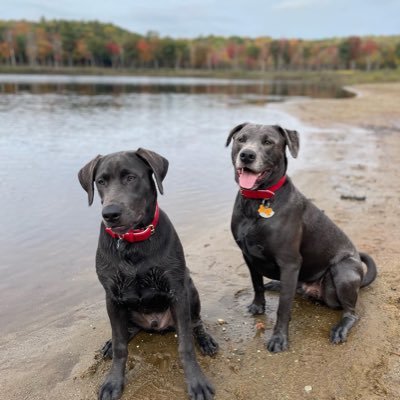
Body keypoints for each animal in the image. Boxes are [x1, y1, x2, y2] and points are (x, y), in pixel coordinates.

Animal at [77, 149, 217, 400]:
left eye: (131, 178)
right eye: (101, 181)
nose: (110, 214)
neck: (133, 243)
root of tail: (156, 325)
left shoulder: (177, 291)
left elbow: (185, 345)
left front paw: (196, 381)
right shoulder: (112, 297)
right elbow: (121, 347)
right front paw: (113, 381)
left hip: (190, 288)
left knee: (195, 323)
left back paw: (205, 339)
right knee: (125, 332)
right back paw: (113, 341)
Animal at [227, 122, 376, 354]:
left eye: (268, 142)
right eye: (241, 139)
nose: (247, 155)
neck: (258, 200)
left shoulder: (290, 263)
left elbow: (283, 307)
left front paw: (279, 338)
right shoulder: (248, 256)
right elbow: (257, 284)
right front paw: (258, 306)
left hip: (343, 271)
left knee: (351, 312)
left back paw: (341, 328)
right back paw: (275, 285)